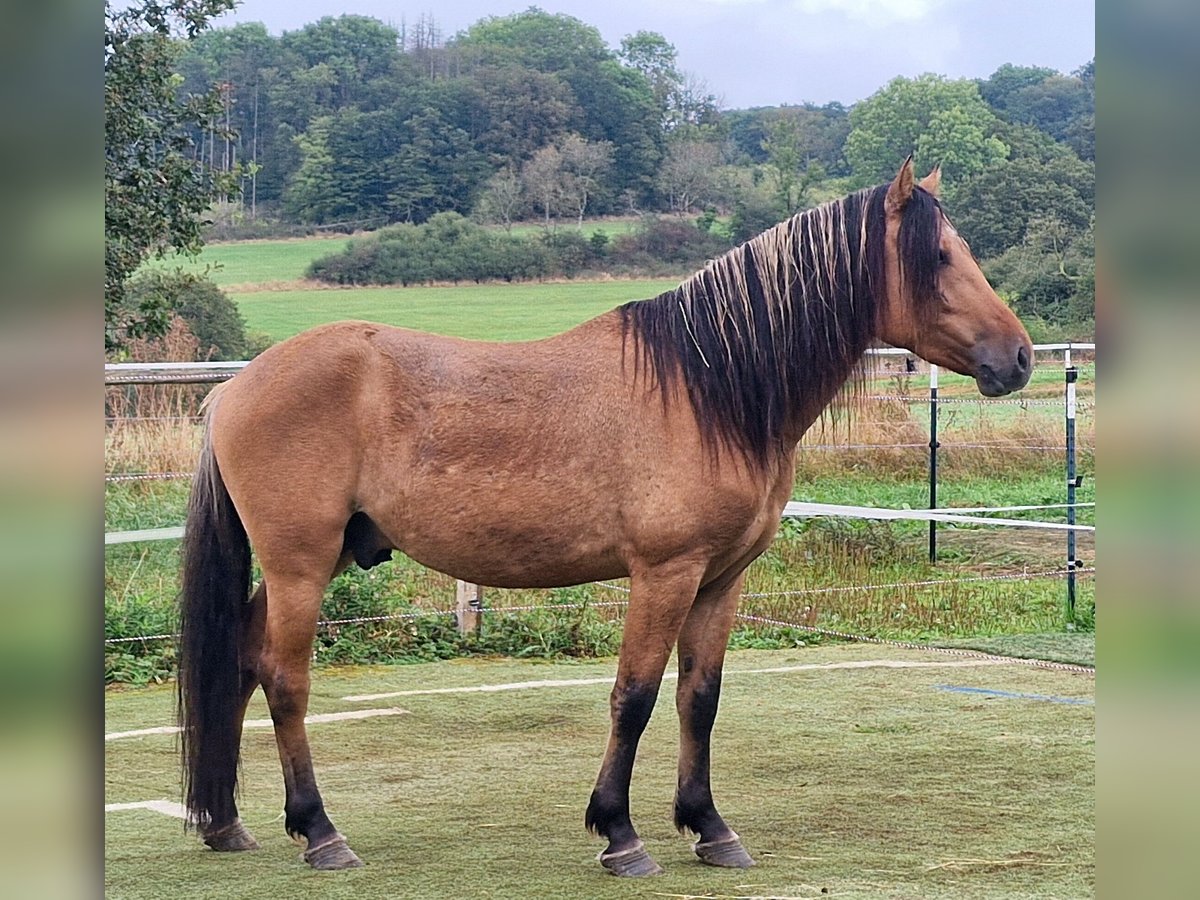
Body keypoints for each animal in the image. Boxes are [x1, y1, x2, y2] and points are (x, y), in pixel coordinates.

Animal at [175, 160, 1032, 873]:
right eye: (940, 257)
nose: (1019, 357)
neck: (709, 389)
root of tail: (235, 388)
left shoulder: (721, 581)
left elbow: (699, 699)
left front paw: (709, 827)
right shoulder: (664, 573)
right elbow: (636, 695)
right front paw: (620, 833)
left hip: (311, 562)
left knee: (243, 661)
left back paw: (228, 824)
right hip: (301, 565)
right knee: (285, 679)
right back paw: (320, 833)